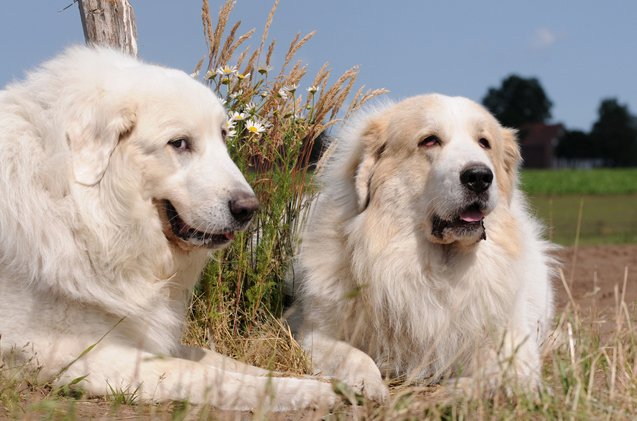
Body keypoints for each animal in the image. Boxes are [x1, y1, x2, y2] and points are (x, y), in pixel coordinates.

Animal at [0, 46, 336, 410]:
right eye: (179, 143)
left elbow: (220, 360)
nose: (249, 209)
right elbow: (200, 373)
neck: (83, 211)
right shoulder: (80, 353)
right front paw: (311, 392)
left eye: (223, 136)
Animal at [290, 94, 556, 400]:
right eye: (429, 141)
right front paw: (369, 385)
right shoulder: (315, 334)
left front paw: (456, 390)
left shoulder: (515, 342)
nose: (479, 176)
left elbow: (501, 372)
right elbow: (354, 356)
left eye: (484, 143)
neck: (436, 270)